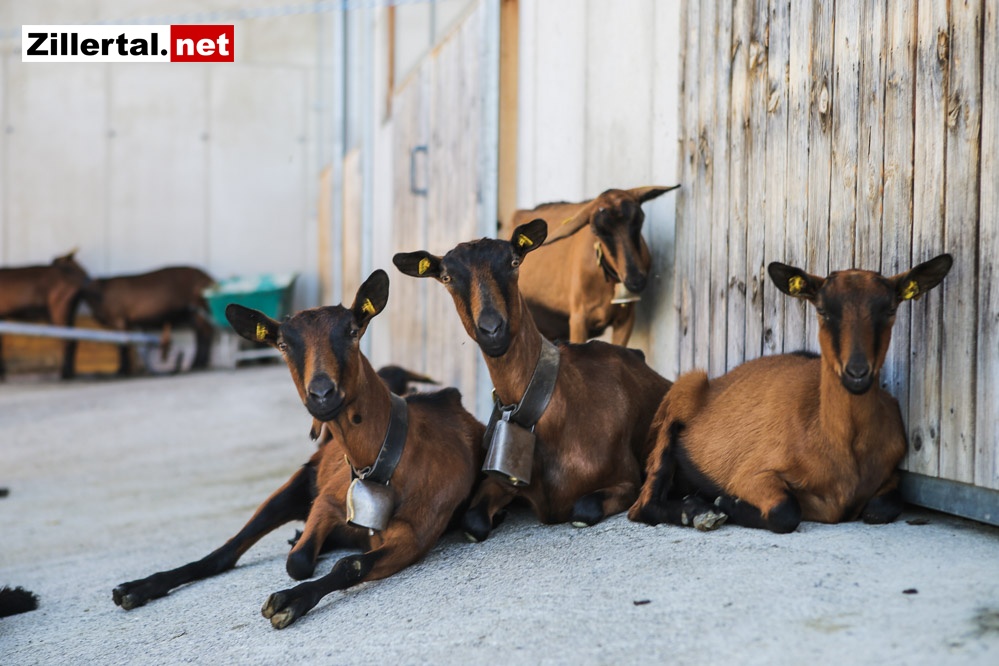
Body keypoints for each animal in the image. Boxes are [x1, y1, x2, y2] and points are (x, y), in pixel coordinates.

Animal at [0, 251, 93, 379]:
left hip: (59, 309)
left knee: (67, 340)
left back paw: (65, 374)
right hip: (68, 312)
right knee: (73, 338)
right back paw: (69, 373)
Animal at [85, 267, 215, 374]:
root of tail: (208, 278)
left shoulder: (119, 320)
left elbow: (123, 345)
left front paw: (122, 370)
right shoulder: (126, 322)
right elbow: (125, 344)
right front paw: (124, 368)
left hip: (198, 309)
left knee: (205, 333)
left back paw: (198, 364)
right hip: (194, 312)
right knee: (202, 333)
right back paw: (198, 363)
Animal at [113, 270, 484, 629]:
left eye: (353, 331)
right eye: (282, 344)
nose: (321, 394)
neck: (385, 462)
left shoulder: (416, 535)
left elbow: (350, 566)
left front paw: (289, 601)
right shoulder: (327, 498)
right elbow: (298, 562)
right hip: (300, 480)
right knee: (226, 551)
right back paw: (135, 588)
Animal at [393, 219, 671, 541]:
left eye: (514, 262)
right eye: (447, 277)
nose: (492, 330)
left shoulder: (627, 480)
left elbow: (584, 508)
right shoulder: (498, 481)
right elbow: (472, 521)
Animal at [629, 254, 953, 533]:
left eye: (889, 310)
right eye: (823, 311)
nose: (857, 373)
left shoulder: (891, 474)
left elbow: (882, 508)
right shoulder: (751, 473)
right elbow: (785, 512)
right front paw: (725, 501)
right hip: (679, 400)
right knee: (642, 506)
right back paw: (699, 511)